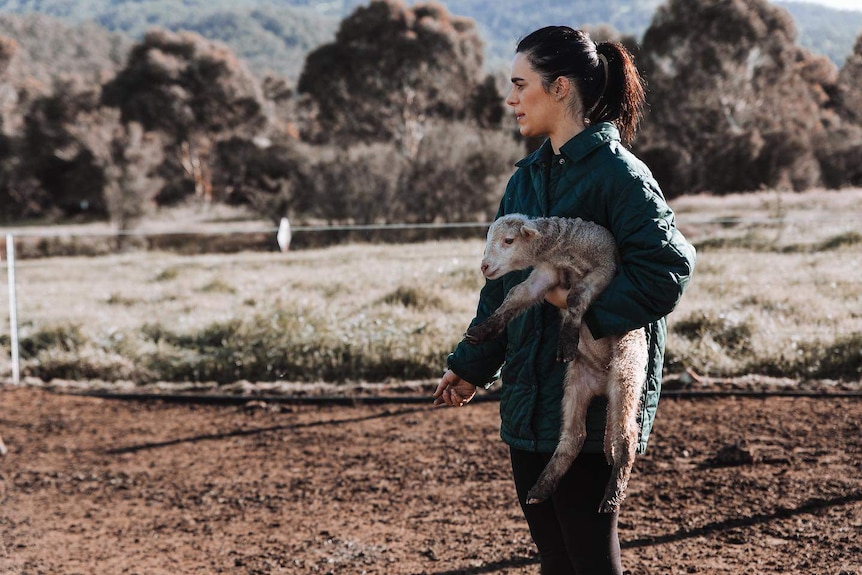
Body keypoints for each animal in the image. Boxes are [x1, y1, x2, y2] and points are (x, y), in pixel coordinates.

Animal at [466, 215, 648, 512]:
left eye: (508, 240)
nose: (484, 267)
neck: (563, 249)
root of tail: (603, 380)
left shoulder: (604, 266)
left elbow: (575, 295)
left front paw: (568, 337)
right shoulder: (546, 274)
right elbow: (515, 296)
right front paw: (480, 331)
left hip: (627, 371)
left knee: (627, 436)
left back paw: (612, 496)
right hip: (575, 383)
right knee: (574, 437)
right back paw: (541, 488)